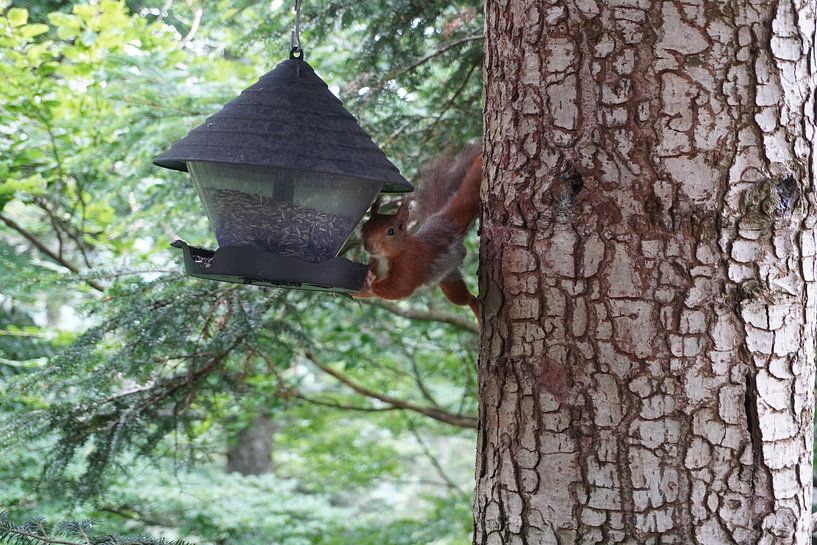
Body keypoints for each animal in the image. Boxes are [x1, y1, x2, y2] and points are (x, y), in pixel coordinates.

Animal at [352, 144, 482, 322]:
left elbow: (400, 287)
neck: (387, 257)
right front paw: (365, 280)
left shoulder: (410, 265)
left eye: (391, 231)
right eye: (364, 227)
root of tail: (443, 223)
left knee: (468, 299)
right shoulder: (376, 263)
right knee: (464, 296)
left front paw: (369, 282)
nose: (369, 246)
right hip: (448, 276)